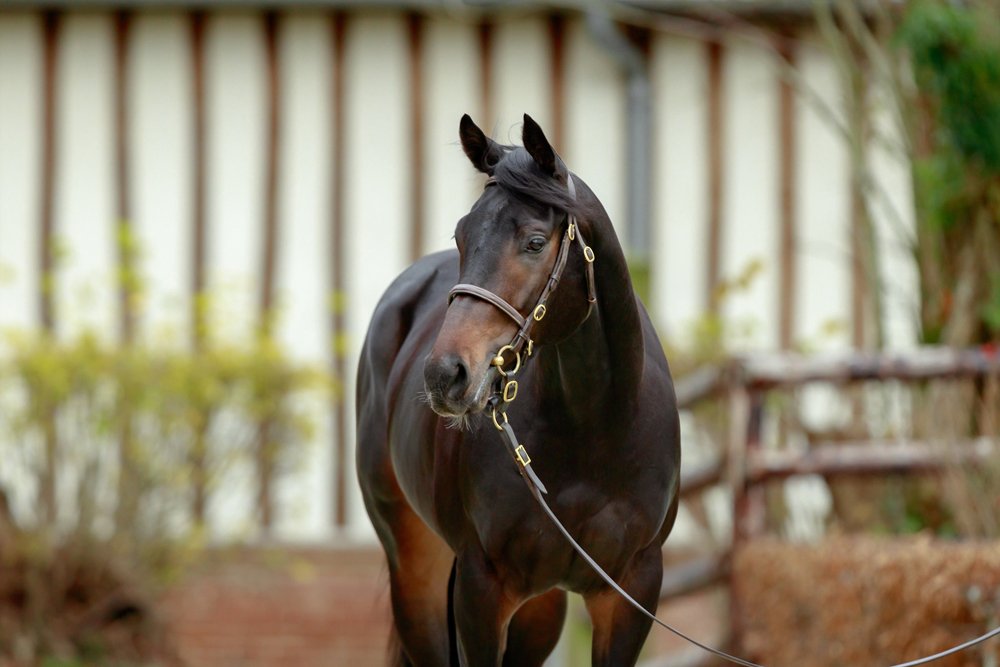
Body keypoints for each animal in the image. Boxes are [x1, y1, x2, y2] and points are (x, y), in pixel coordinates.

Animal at [356, 113, 680, 666]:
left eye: (534, 241)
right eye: (461, 236)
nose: (445, 374)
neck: (595, 430)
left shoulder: (632, 590)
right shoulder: (481, 590)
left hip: (541, 607)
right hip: (417, 570)